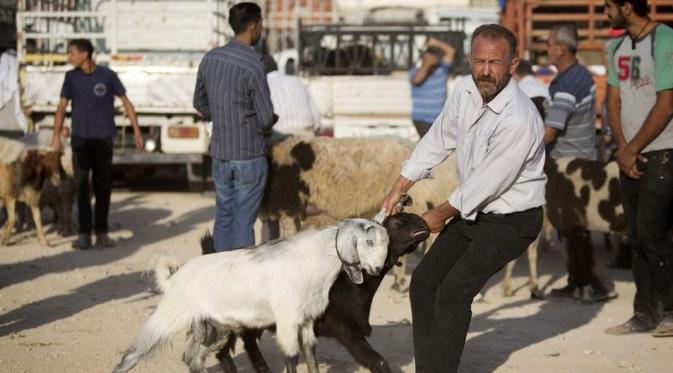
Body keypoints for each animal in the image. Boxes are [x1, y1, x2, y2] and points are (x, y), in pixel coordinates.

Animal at [113, 218, 388, 372]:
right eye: (369, 242)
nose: (376, 269)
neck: (313, 261)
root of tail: (176, 276)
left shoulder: (307, 321)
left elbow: (311, 357)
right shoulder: (287, 321)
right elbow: (291, 358)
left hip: (216, 328)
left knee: (192, 358)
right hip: (168, 317)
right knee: (131, 355)